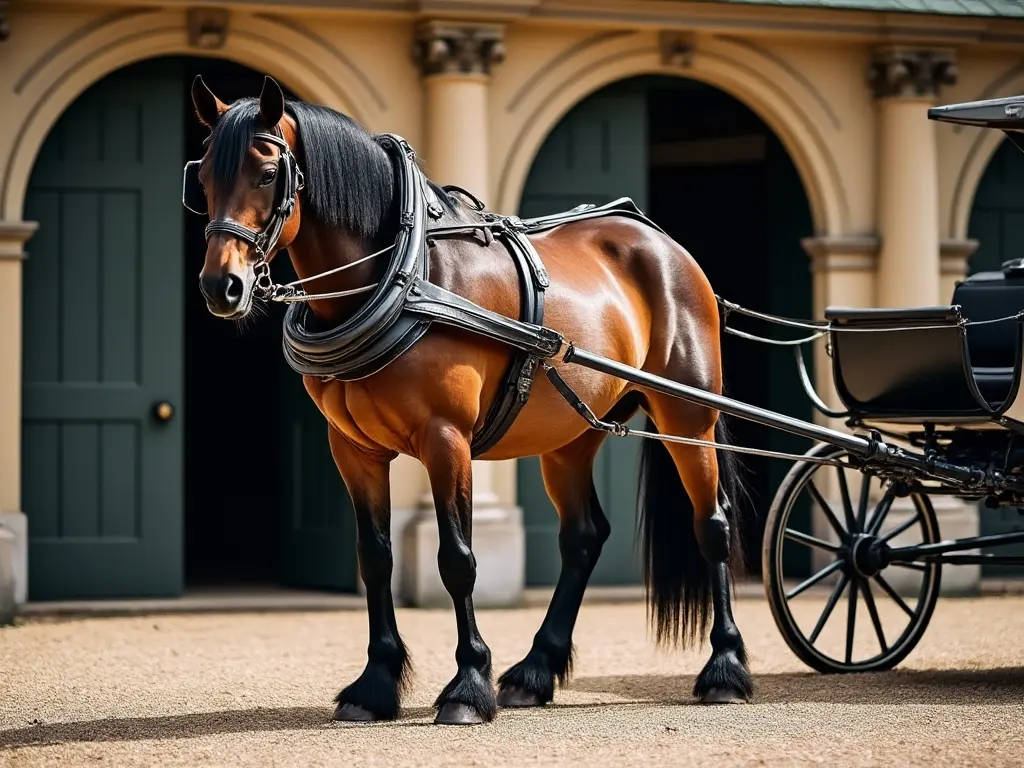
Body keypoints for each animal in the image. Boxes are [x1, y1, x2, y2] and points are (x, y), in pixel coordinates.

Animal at [188, 73, 757, 729]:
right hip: (571, 435)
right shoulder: (353, 450)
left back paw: (725, 669)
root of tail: (661, 243)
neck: (408, 273)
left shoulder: (445, 439)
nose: (221, 287)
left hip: (689, 415)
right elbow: (374, 558)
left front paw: (466, 684)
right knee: (583, 537)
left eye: (265, 173)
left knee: (711, 524)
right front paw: (375, 684)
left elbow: (457, 559)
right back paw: (535, 671)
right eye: (202, 178)